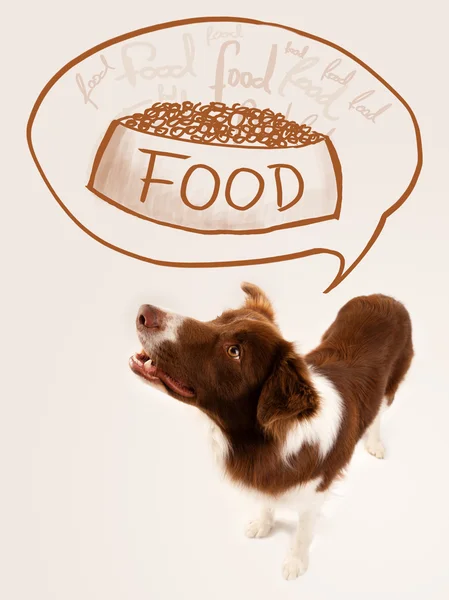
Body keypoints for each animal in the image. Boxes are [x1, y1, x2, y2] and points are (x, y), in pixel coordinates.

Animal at [129, 284, 412, 580]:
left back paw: (375, 443)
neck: (260, 442)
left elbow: (303, 532)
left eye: (234, 351)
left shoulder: (316, 493)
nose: (145, 313)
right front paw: (263, 524)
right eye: (219, 318)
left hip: (392, 383)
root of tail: (385, 297)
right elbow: (266, 502)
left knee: (378, 412)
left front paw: (296, 562)